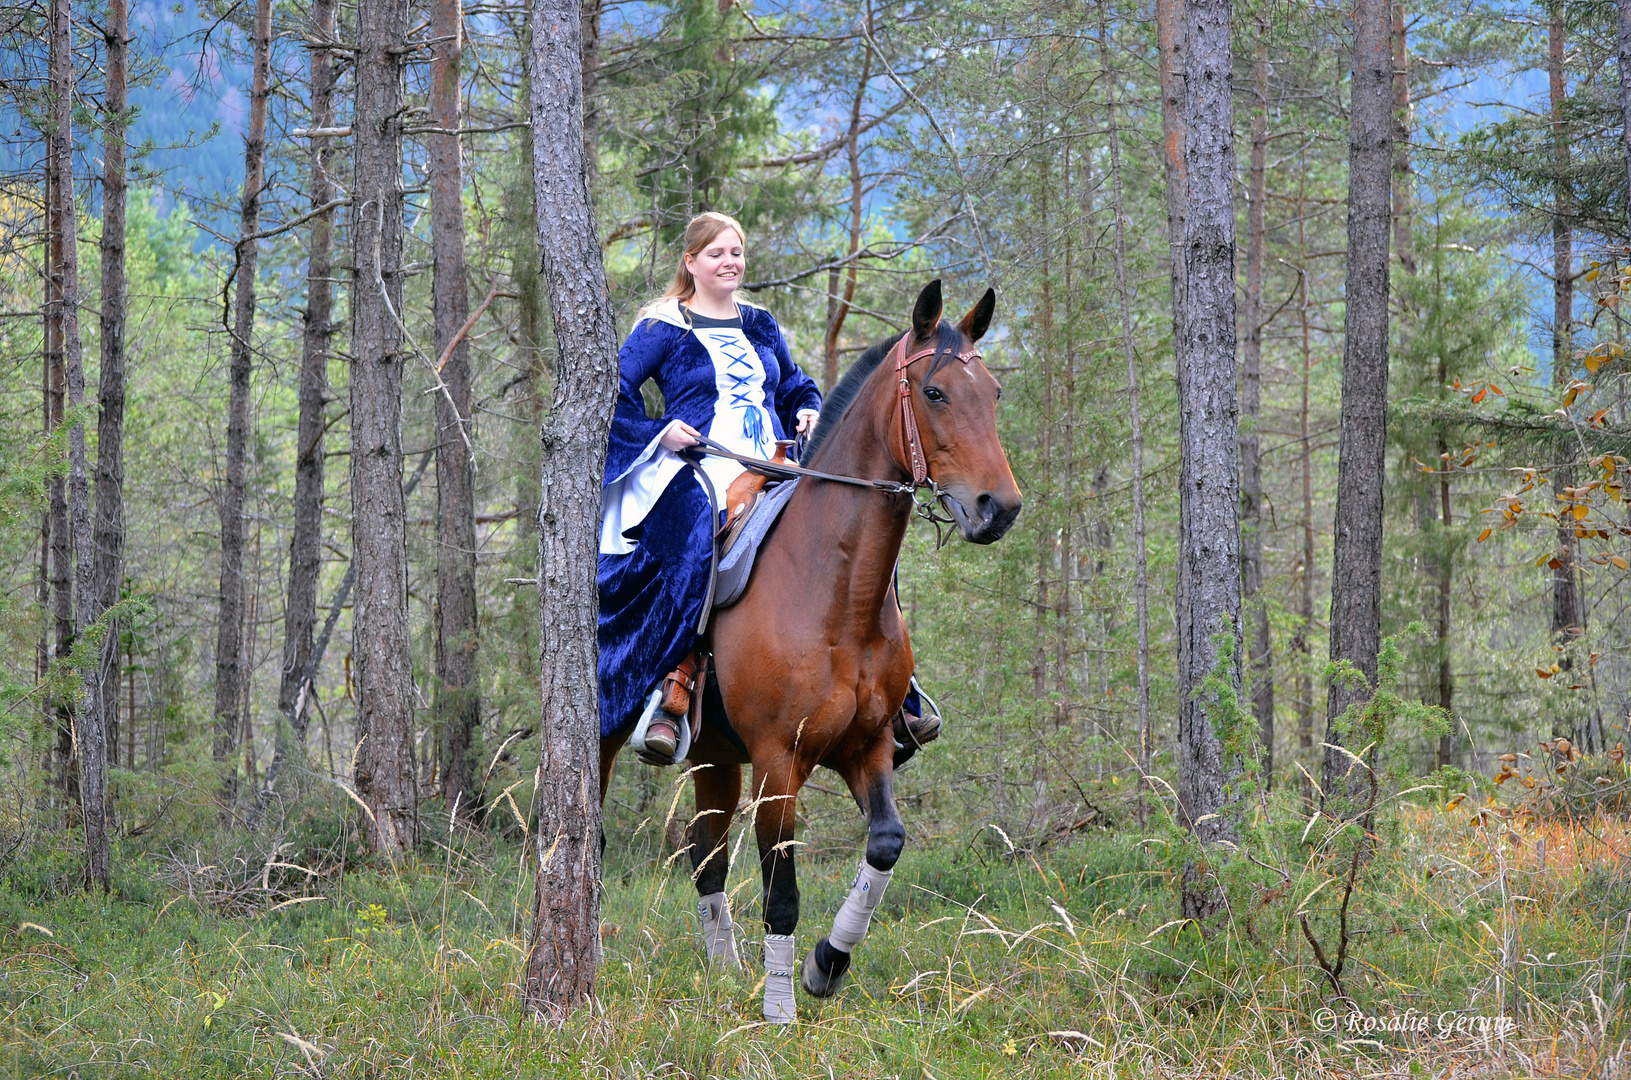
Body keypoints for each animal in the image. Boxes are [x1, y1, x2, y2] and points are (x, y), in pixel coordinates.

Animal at [593, 278, 1024, 1024]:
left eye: (993, 392)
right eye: (935, 392)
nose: (998, 507)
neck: (835, 595)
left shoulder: (867, 745)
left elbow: (885, 843)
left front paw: (826, 964)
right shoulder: (777, 761)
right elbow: (782, 891)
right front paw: (780, 1010)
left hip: (712, 755)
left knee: (705, 856)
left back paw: (723, 966)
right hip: (608, 734)